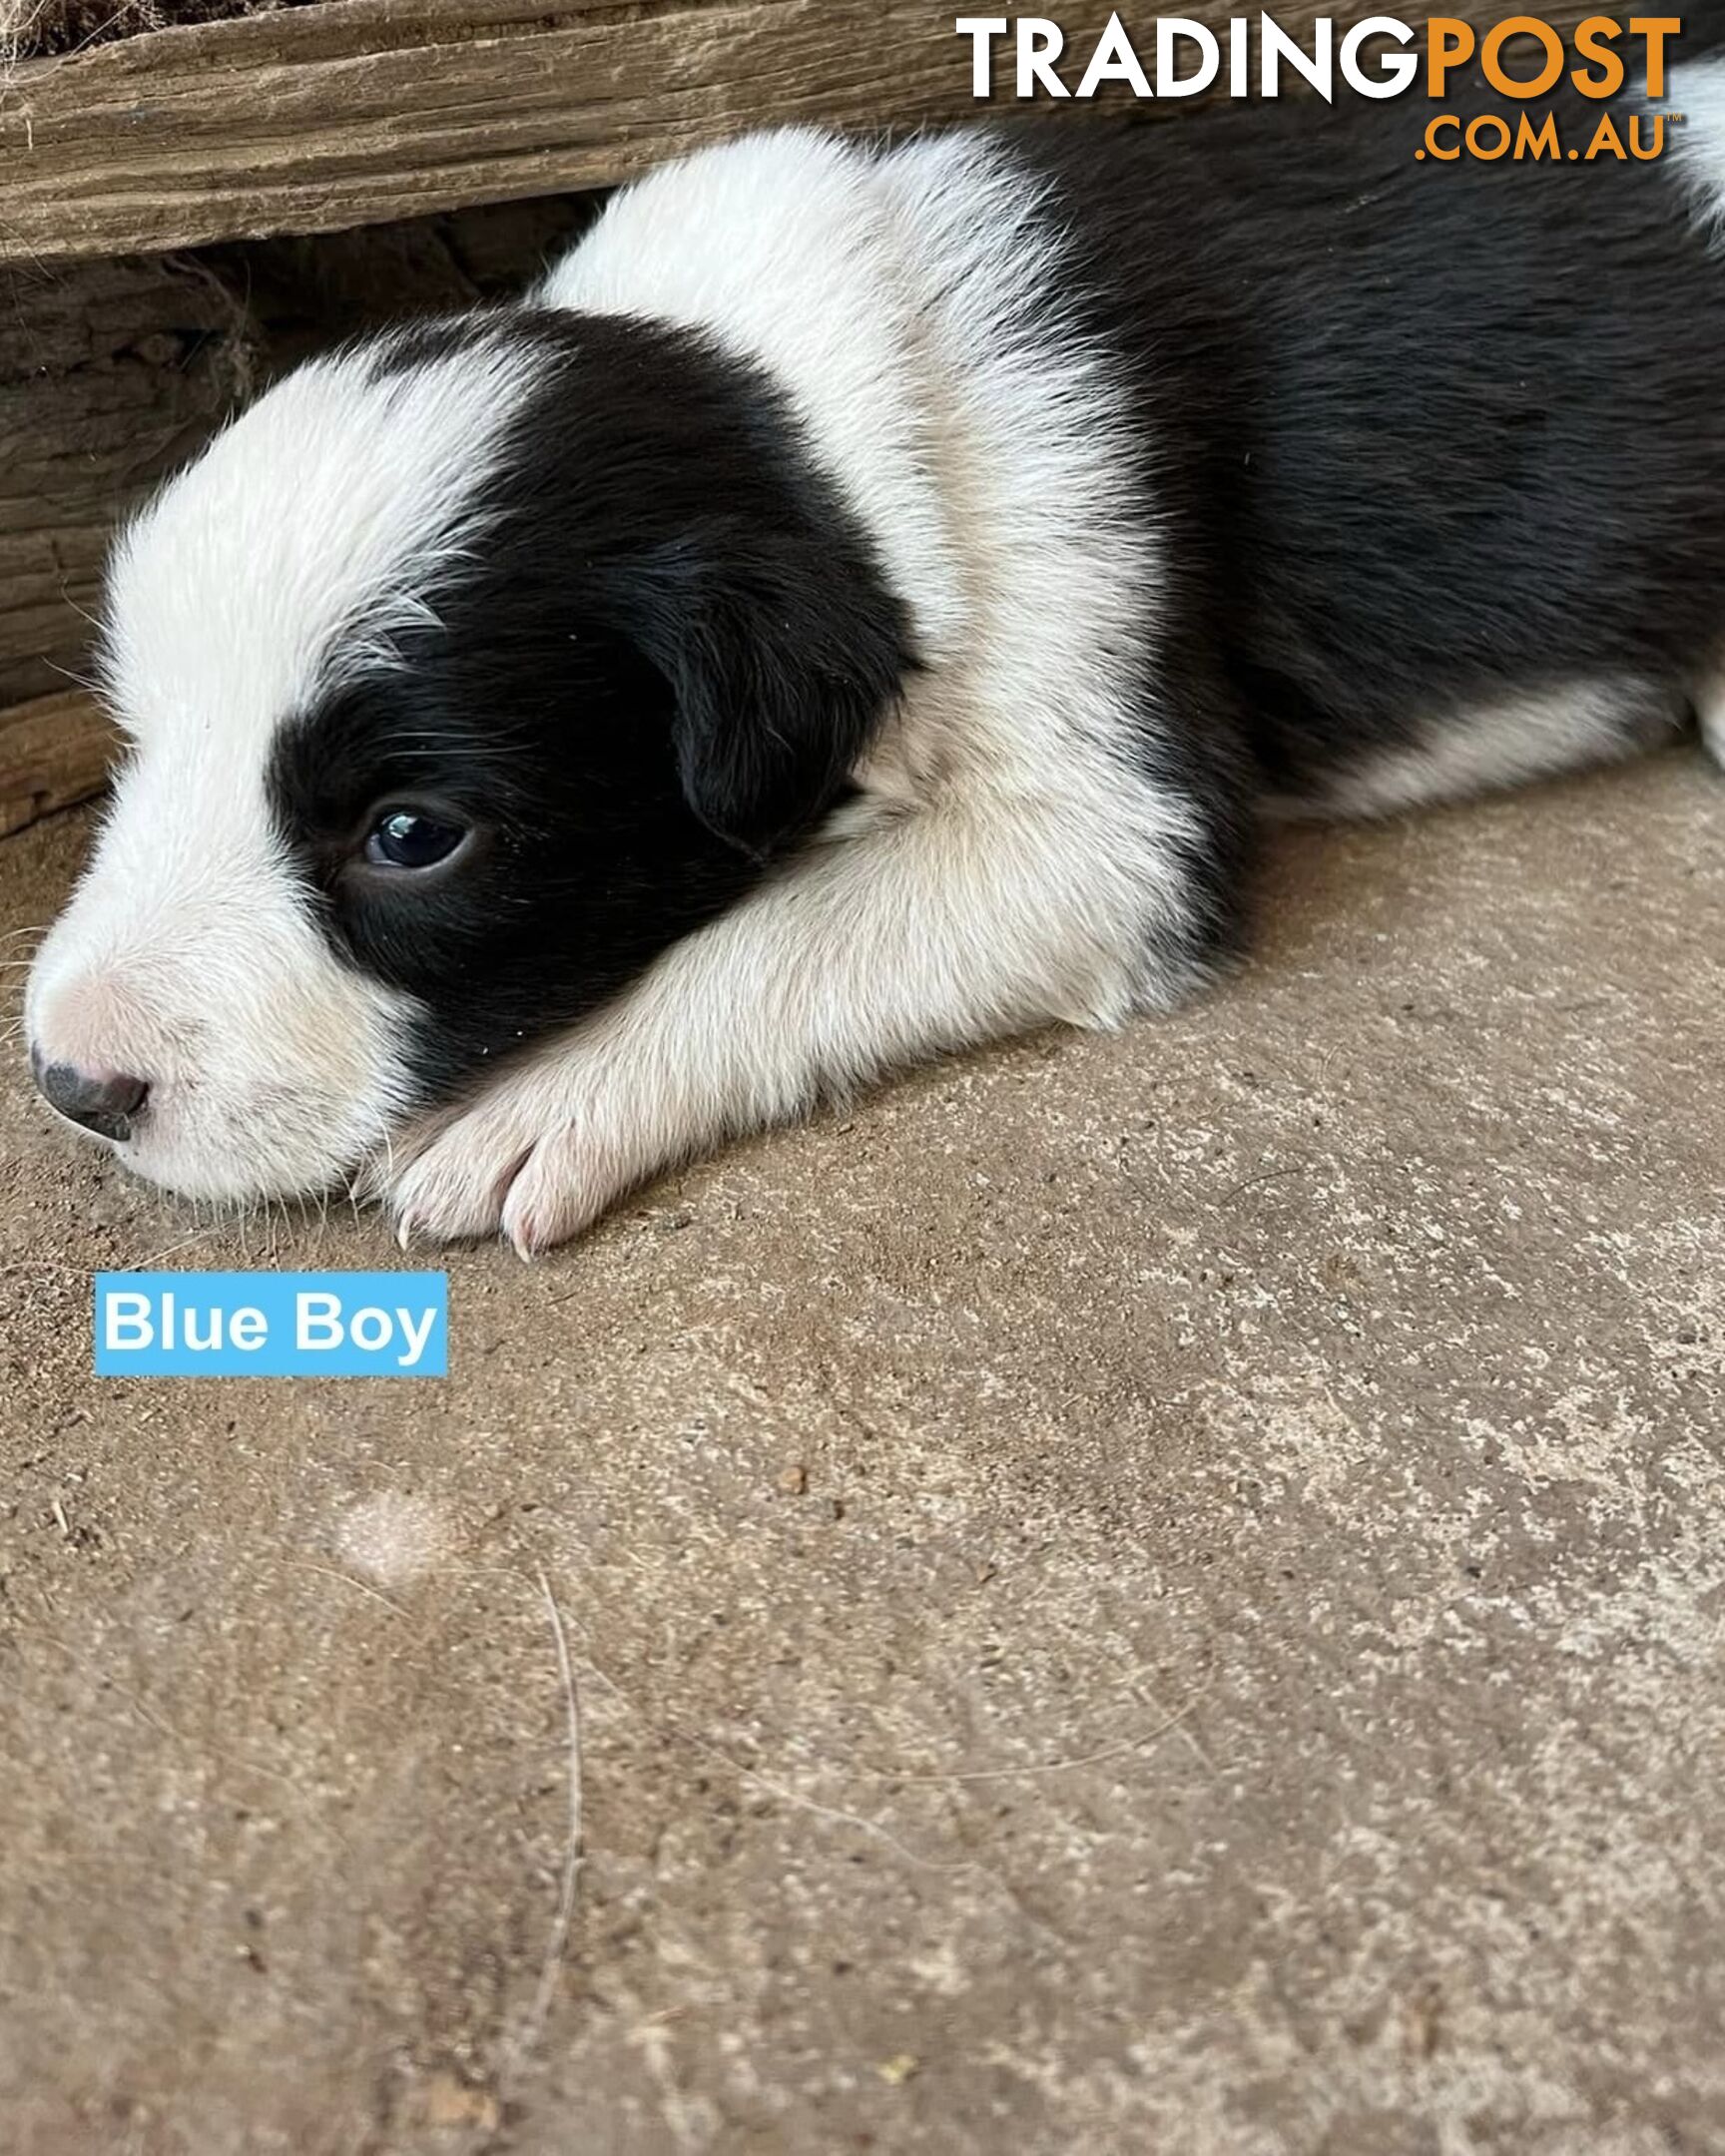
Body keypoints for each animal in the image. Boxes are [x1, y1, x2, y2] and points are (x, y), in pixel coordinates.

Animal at [20, 88, 1725, 1259]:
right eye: (142, 735)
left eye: (410, 837)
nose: (70, 1084)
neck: (789, 424)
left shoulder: (1109, 823)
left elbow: (789, 933)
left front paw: (550, 1093)